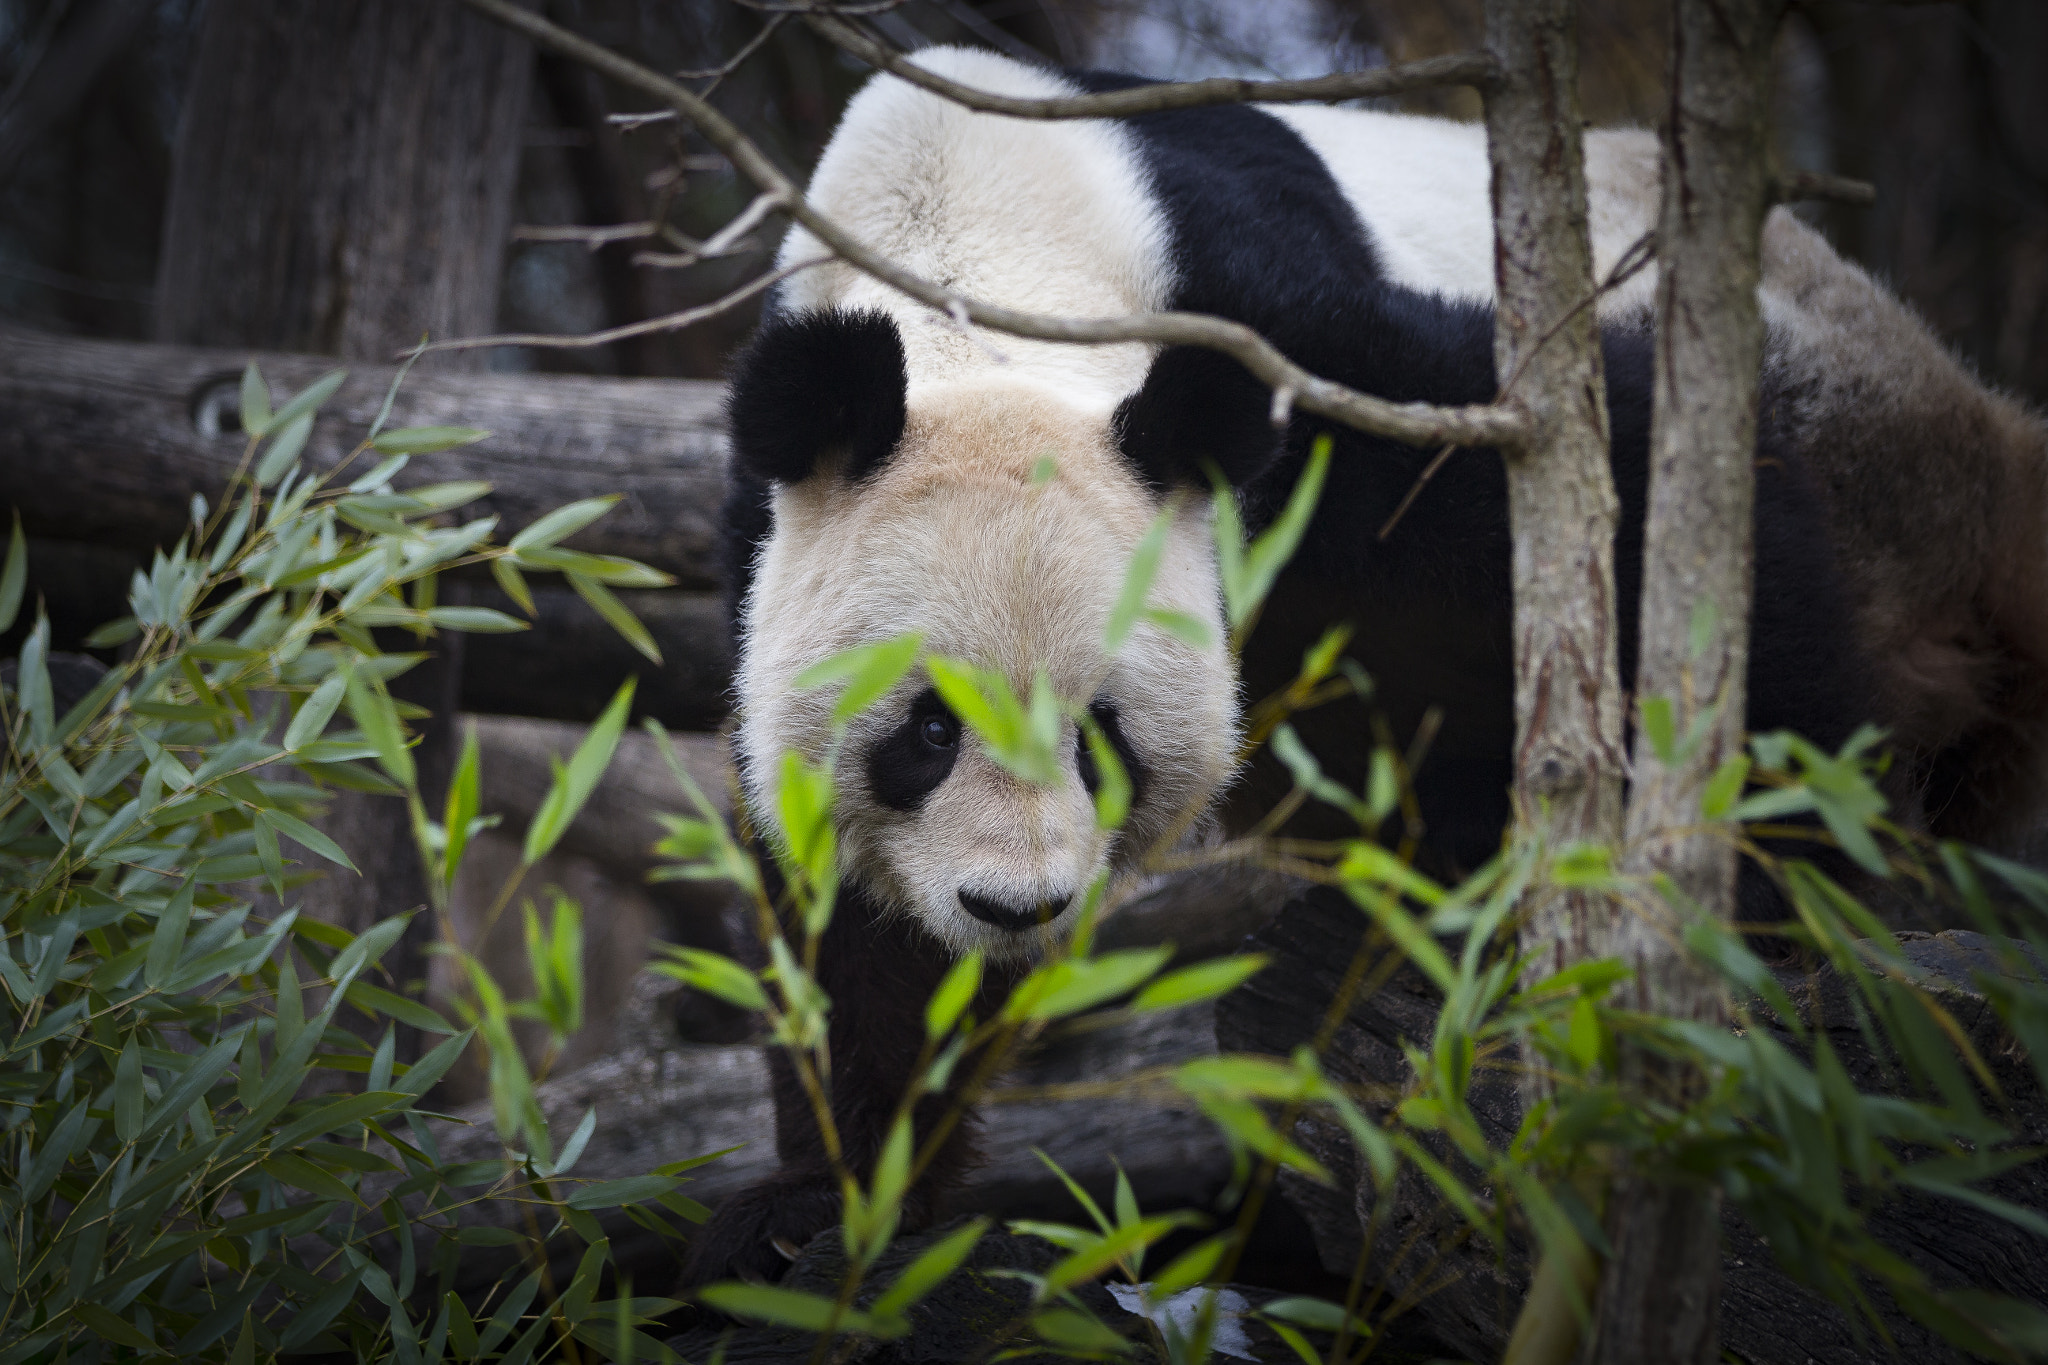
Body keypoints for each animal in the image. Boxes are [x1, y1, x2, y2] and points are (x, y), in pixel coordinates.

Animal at [688, 47, 2048, 1285]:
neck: (964, 262)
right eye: (927, 733)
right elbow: (837, 913)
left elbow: (1632, 474)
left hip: (1875, 451)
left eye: (1099, 734)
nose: (1014, 910)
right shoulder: (770, 519)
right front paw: (827, 1197)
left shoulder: (1301, 362)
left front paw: (1757, 885)